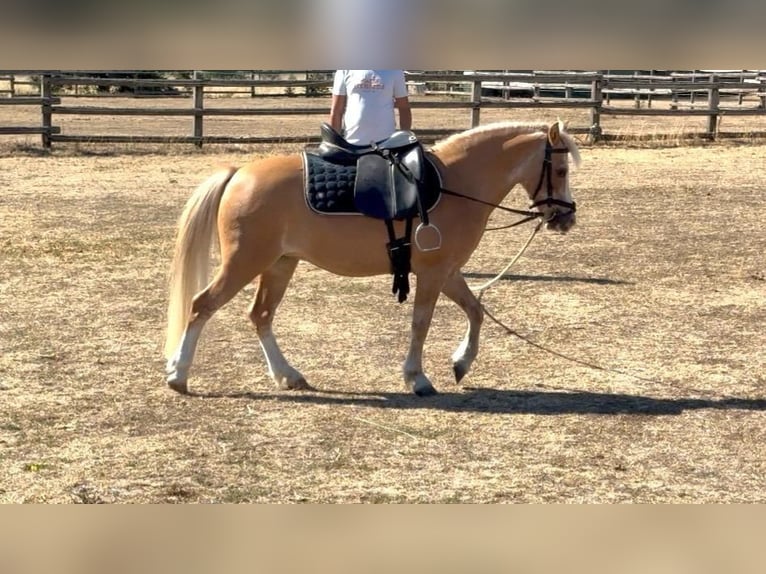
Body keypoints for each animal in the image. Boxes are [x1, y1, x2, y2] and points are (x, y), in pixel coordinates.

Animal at [164, 120, 581, 396]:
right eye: (560, 170)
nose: (567, 218)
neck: (454, 184)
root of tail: (239, 175)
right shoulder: (433, 274)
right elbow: (421, 324)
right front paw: (417, 378)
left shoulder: (448, 272)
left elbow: (476, 311)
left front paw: (461, 363)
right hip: (244, 263)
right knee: (201, 305)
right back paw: (178, 375)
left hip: (279, 265)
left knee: (260, 316)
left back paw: (288, 375)